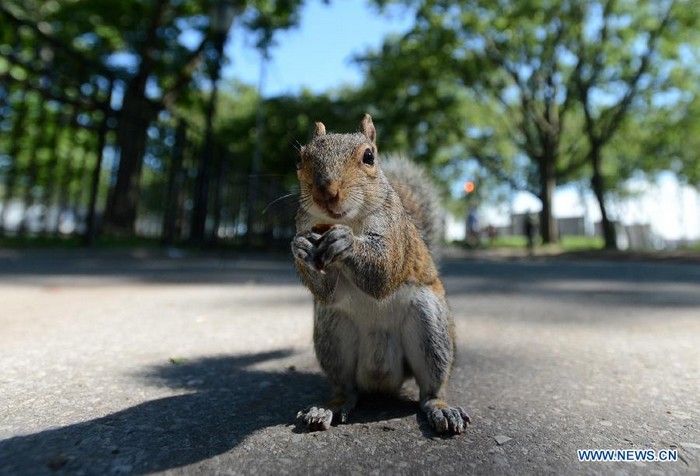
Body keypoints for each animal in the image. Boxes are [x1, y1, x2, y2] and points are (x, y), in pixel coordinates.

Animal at [292, 115, 470, 436]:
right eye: (300, 160)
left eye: (369, 157)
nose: (326, 193)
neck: (349, 220)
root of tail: (381, 378)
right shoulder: (307, 226)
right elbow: (328, 292)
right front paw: (299, 247)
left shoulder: (395, 232)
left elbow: (385, 272)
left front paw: (347, 242)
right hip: (331, 333)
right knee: (346, 390)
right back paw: (328, 408)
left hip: (431, 328)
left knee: (431, 389)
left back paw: (442, 408)